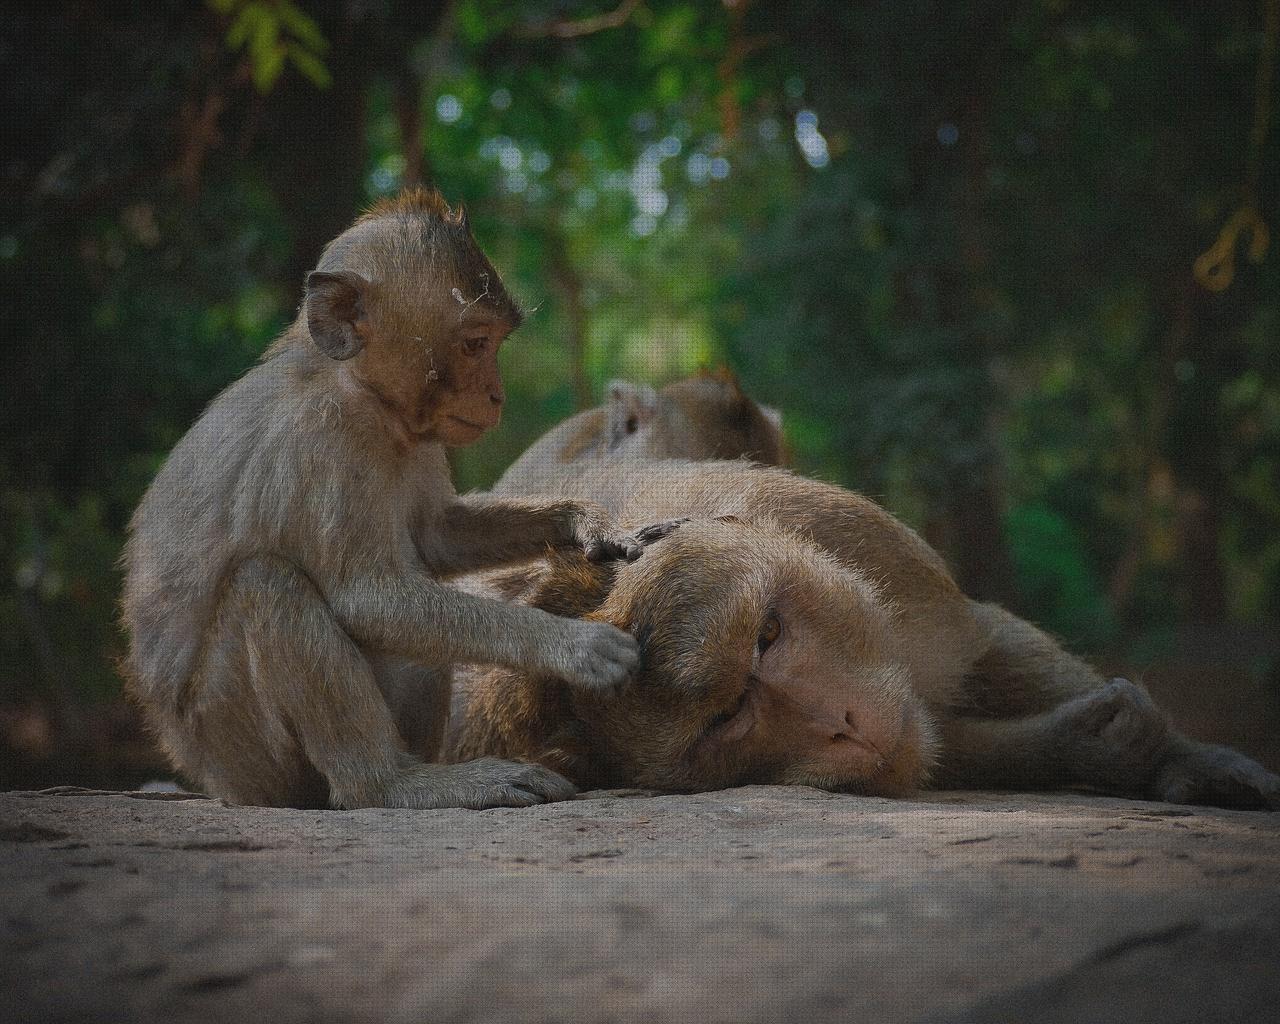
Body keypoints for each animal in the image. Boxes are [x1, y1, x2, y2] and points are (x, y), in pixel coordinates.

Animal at [120, 185, 680, 808]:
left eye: (495, 342)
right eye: (475, 343)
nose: (497, 395)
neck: (361, 390)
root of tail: (208, 774)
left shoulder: (421, 437)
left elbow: (437, 535)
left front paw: (589, 525)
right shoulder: (325, 438)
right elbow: (365, 598)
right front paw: (570, 645)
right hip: (240, 747)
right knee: (267, 584)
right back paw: (393, 782)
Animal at [450, 460, 1280, 814]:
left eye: (768, 634)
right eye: (727, 716)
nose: (841, 721)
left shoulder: (868, 551)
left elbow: (980, 638)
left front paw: (1180, 756)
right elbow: (933, 742)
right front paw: (1088, 749)